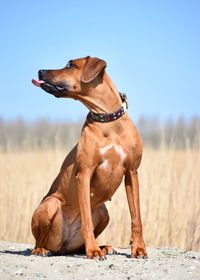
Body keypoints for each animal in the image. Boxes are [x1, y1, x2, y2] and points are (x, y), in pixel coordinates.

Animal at [31, 55, 147, 260]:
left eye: (70, 65)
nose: (40, 71)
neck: (108, 121)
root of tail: (63, 247)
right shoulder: (84, 173)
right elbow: (86, 221)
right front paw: (92, 251)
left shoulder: (132, 173)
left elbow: (136, 218)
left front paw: (139, 249)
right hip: (51, 204)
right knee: (39, 241)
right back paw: (41, 250)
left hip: (103, 211)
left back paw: (103, 247)